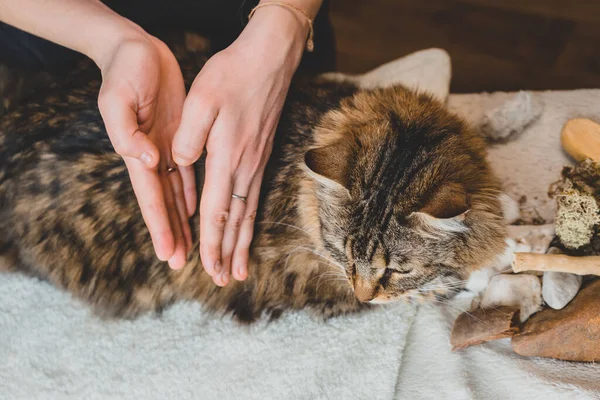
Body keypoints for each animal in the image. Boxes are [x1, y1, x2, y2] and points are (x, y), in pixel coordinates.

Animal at [0, 39, 506, 322]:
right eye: (342, 253)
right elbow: (432, 290)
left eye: (398, 268)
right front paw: (487, 268)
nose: (364, 289)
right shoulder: (299, 278)